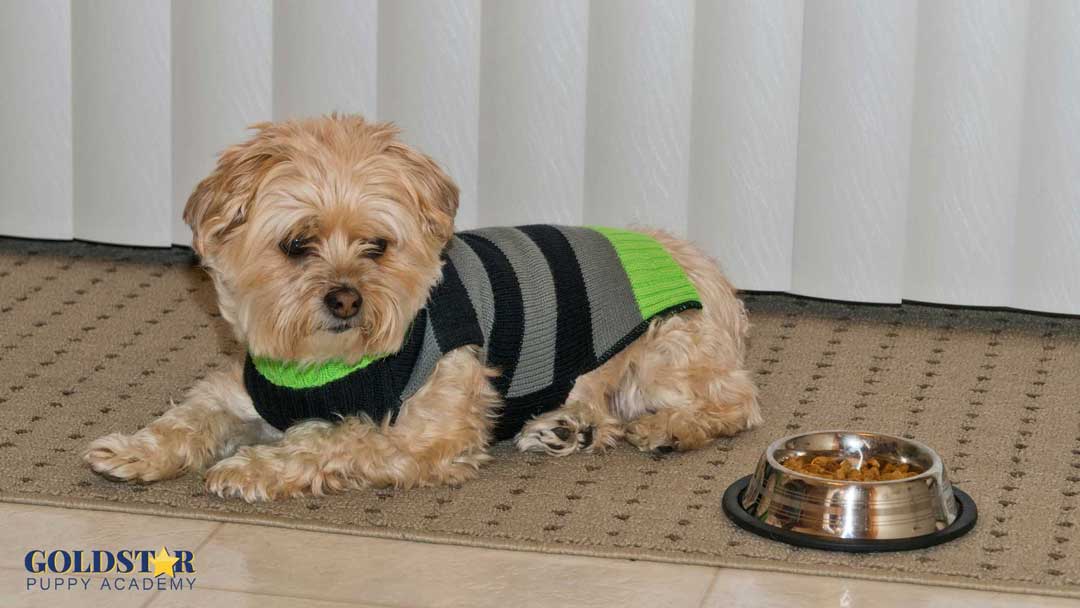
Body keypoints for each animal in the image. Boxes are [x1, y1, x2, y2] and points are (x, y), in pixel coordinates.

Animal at [84, 115, 760, 505]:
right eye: (297, 244)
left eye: (376, 245)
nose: (346, 298)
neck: (321, 367)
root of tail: (709, 271)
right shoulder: (240, 394)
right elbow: (187, 418)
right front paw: (137, 450)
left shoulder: (425, 434)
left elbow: (332, 440)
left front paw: (252, 468)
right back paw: (566, 428)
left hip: (665, 352)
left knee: (735, 406)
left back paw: (666, 429)